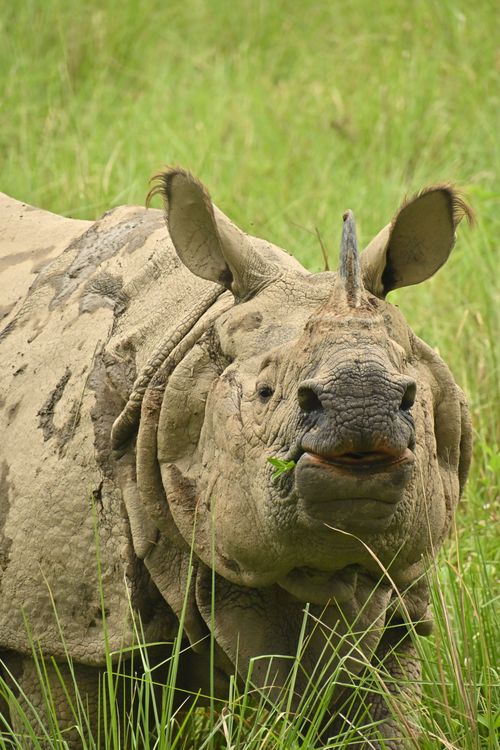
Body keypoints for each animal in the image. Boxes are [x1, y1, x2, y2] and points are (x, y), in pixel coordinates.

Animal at [0, 170, 472, 747]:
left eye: (411, 394)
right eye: (266, 392)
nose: (363, 401)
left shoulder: (399, 603)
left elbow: (382, 719)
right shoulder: (61, 627)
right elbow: (66, 722)